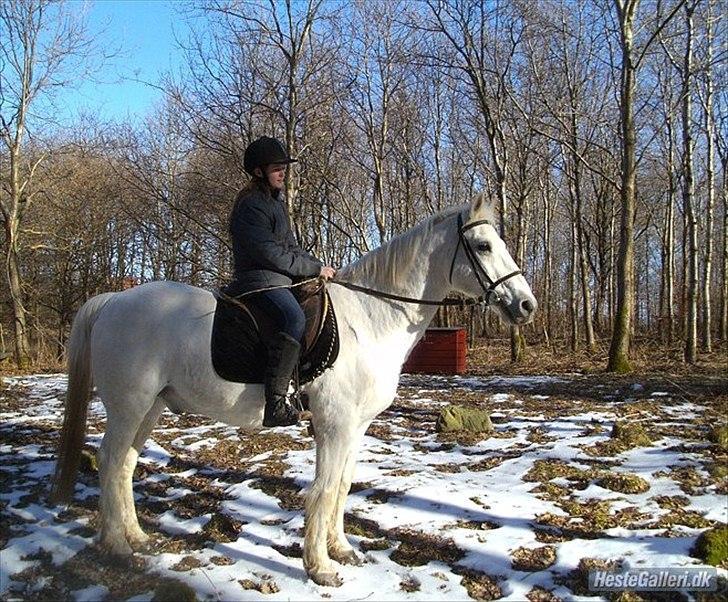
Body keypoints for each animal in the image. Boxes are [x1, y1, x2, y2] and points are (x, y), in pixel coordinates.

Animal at [50, 193, 537, 587]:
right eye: (483, 246)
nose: (526, 306)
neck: (370, 317)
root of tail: (113, 300)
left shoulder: (355, 427)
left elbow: (342, 486)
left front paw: (341, 550)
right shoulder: (334, 425)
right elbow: (322, 490)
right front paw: (320, 568)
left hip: (150, 408)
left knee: (126, 465)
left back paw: (136, 536)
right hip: (128, 406)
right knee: (110, 461)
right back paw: (117, 545)